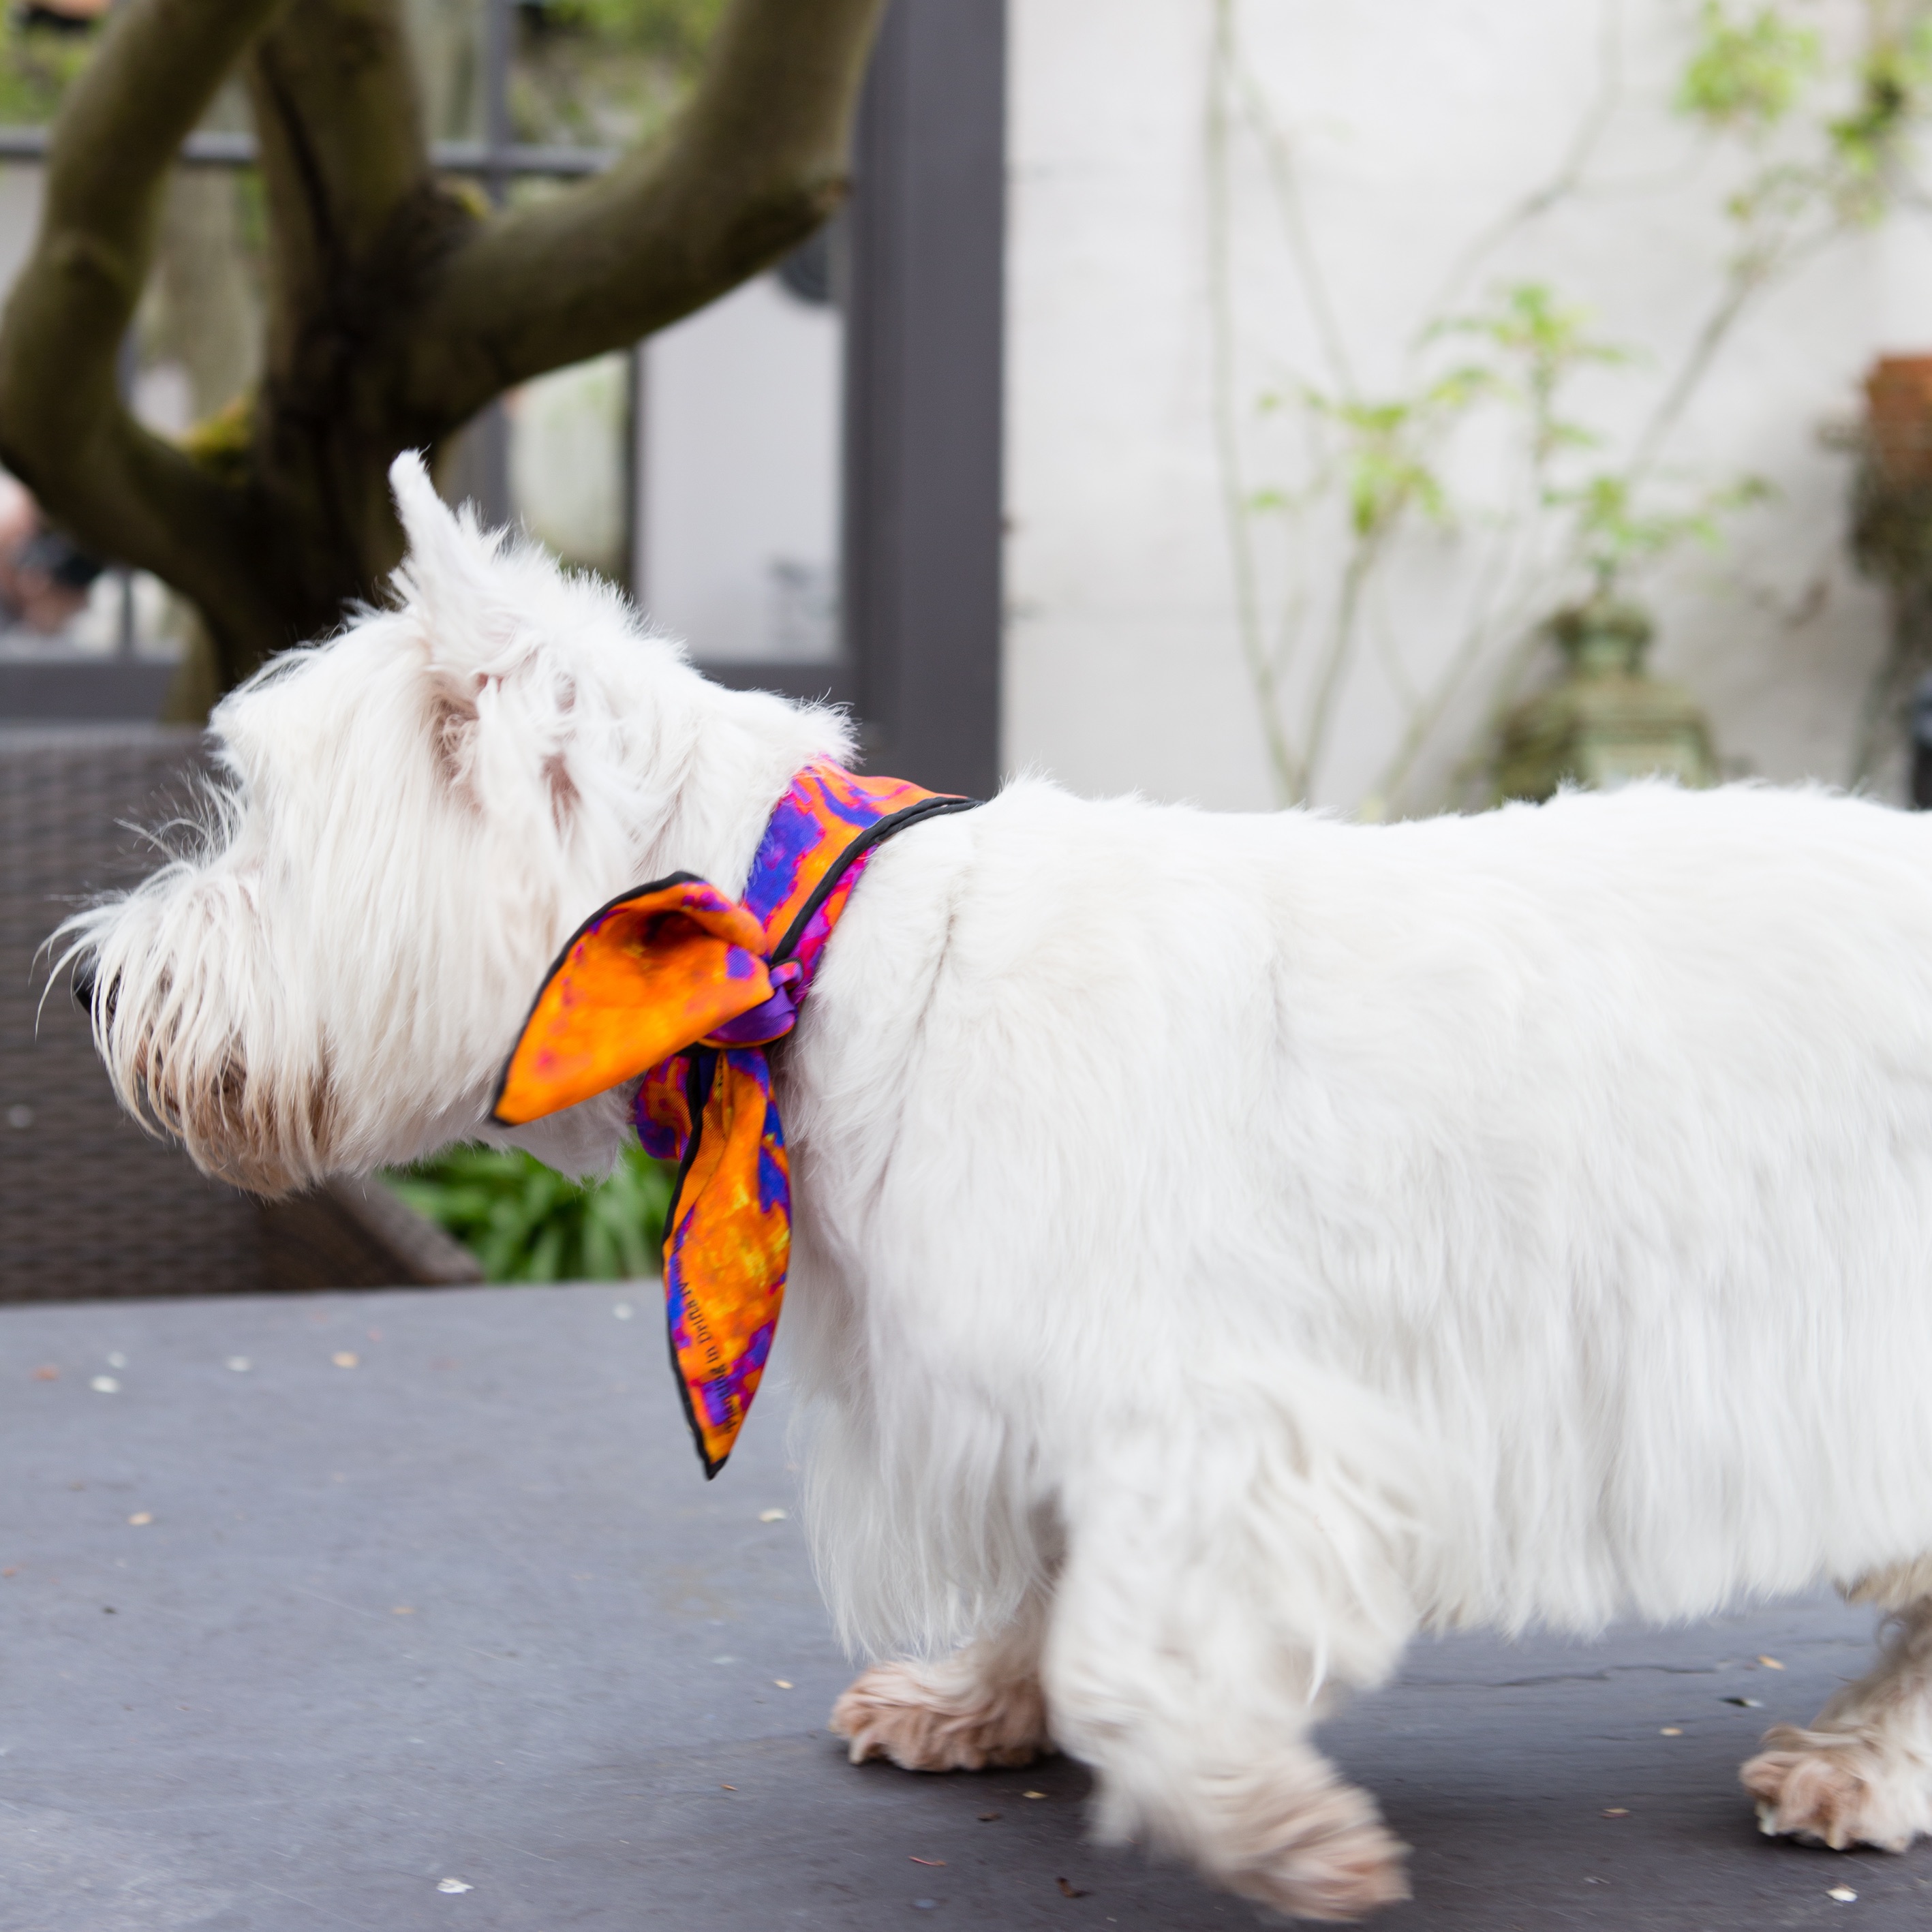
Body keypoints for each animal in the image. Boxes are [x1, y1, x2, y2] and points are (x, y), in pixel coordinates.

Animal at [56, 452, 1932, 1916]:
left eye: (266, 830)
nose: (88, 990)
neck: (799, 949)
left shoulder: (1214, 1406)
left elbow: (1134, 1636)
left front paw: (1271, 1825)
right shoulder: (1016, 1389)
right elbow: (1058, 1577)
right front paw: (982, 1700)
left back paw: (1861, 1761)